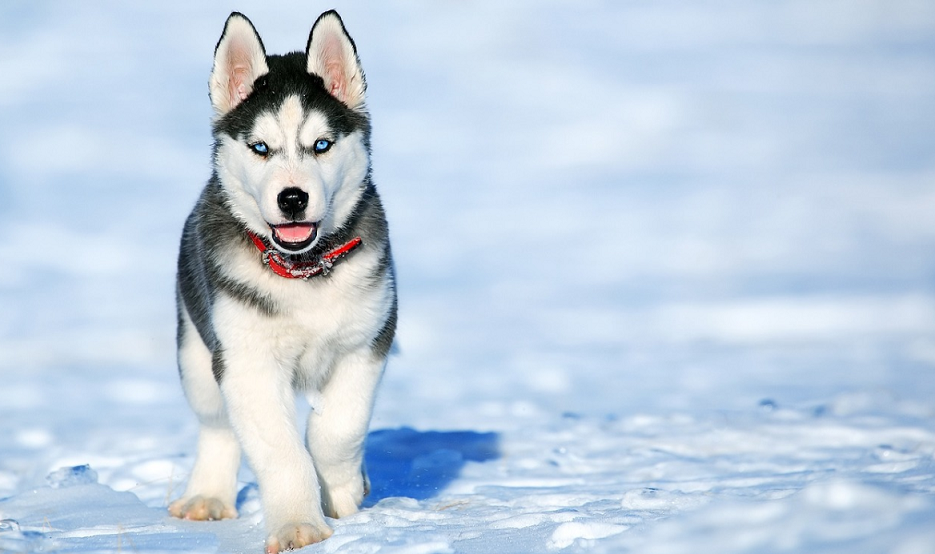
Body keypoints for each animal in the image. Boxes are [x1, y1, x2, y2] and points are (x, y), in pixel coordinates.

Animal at [170, 10, 396, 548]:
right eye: (260, 148)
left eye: (321, 145)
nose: (292, 198)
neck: (303, 271)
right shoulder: (246, 361)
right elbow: (280, 449)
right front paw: (299, 523)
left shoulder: (367, 342)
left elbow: (338, 430)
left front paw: (341, 490)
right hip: (196, 352)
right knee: (217, 426)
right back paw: (206, 495)